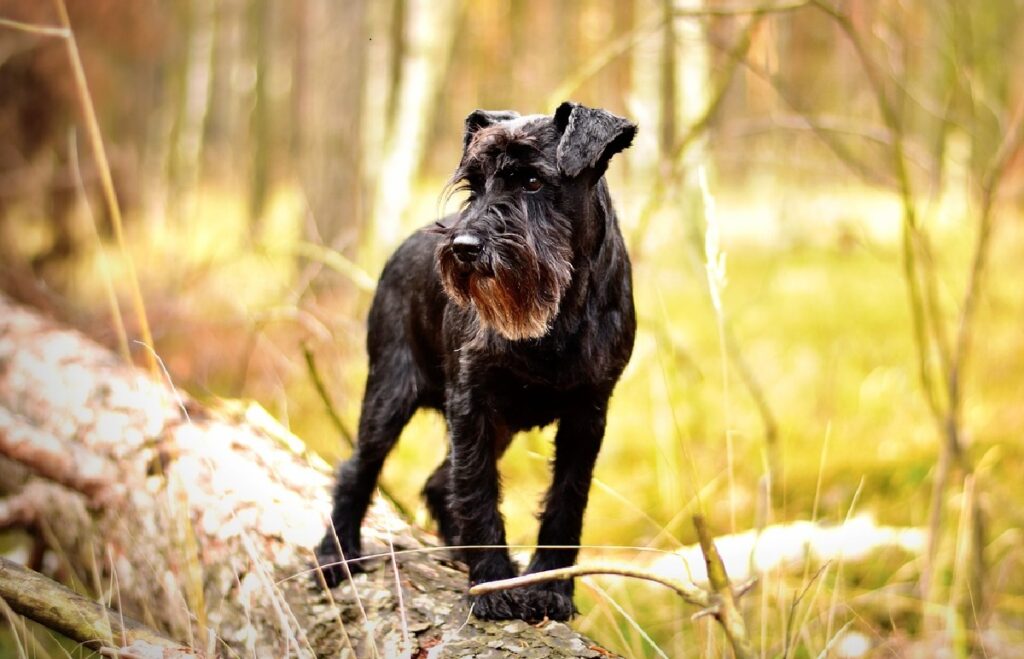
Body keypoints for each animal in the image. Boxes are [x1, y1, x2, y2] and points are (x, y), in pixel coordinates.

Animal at [317, 100, 638, 622]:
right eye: (474, 183)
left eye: (533, 182)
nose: (464, 247)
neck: (558, 317)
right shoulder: (472, 405)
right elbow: (478, 489)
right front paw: (492, 585)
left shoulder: (588, 414)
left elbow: (566, 500)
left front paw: (550, 589)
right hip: (388, 394)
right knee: (358, 469)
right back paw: (335, 554)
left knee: (436, 482)